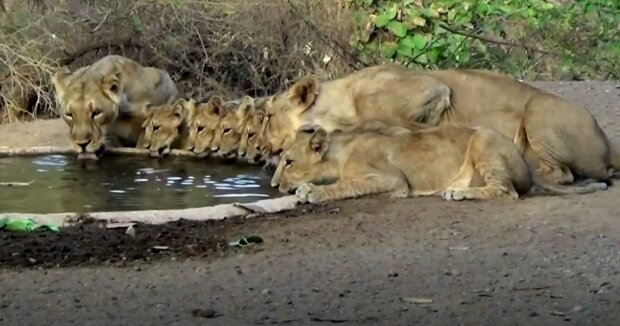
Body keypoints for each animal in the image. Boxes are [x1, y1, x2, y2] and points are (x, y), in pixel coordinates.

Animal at [262, 64, 620, 186]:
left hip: (539, 111)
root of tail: (609, 144)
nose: (261, 148)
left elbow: (408, 129)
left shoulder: (433, 89)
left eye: (268, 115)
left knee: (562, 173)